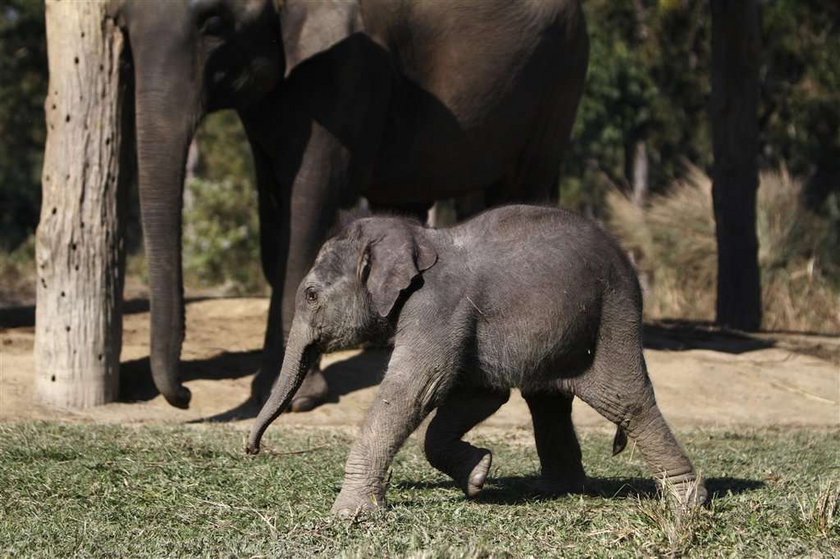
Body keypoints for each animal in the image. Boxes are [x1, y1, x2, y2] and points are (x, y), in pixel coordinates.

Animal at [108, 0, 588, 412]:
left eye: (212, 22)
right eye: (122, 27)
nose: (186, 395)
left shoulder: (344, 67)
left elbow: (306, 206)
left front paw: (298, 399)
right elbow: (275, 212)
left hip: (558, 82)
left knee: (520, 187)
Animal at [246, 205, 704, 516]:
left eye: (310, 295)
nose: (252, 449)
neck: (418, 237)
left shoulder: (438, 306)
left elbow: (418, 386)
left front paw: (349, 515)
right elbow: (480, 394)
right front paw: (479, 474)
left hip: (612, 314)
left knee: (625, 400)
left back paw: (688, 504)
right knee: (548, 402)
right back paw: (558, 490)